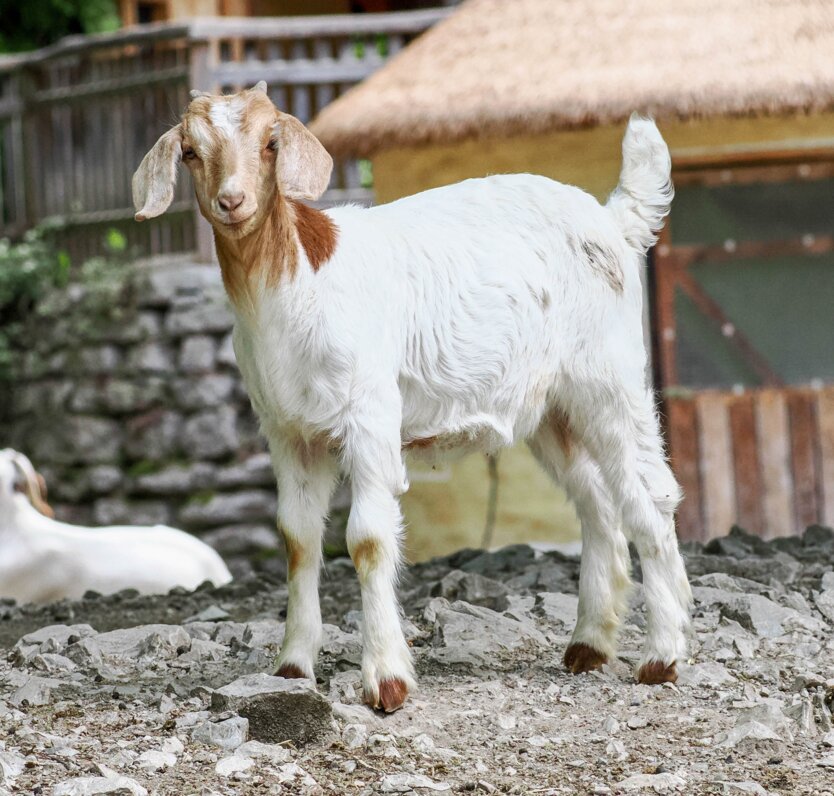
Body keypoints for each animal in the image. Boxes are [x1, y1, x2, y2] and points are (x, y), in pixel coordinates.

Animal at [133, 84, 692, 712]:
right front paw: (293, 667)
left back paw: (662, 656)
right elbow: (299, 539)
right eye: (190, 152)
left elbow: (368, 539)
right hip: (555, 410)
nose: (232, 201)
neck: (292, 288)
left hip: (609, 378)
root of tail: (610, 219)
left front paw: (386, 679)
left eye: (271, 142)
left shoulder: (370, 415)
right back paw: (589, 646)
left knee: (649, 498)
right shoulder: (288, 431)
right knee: (597, 504)